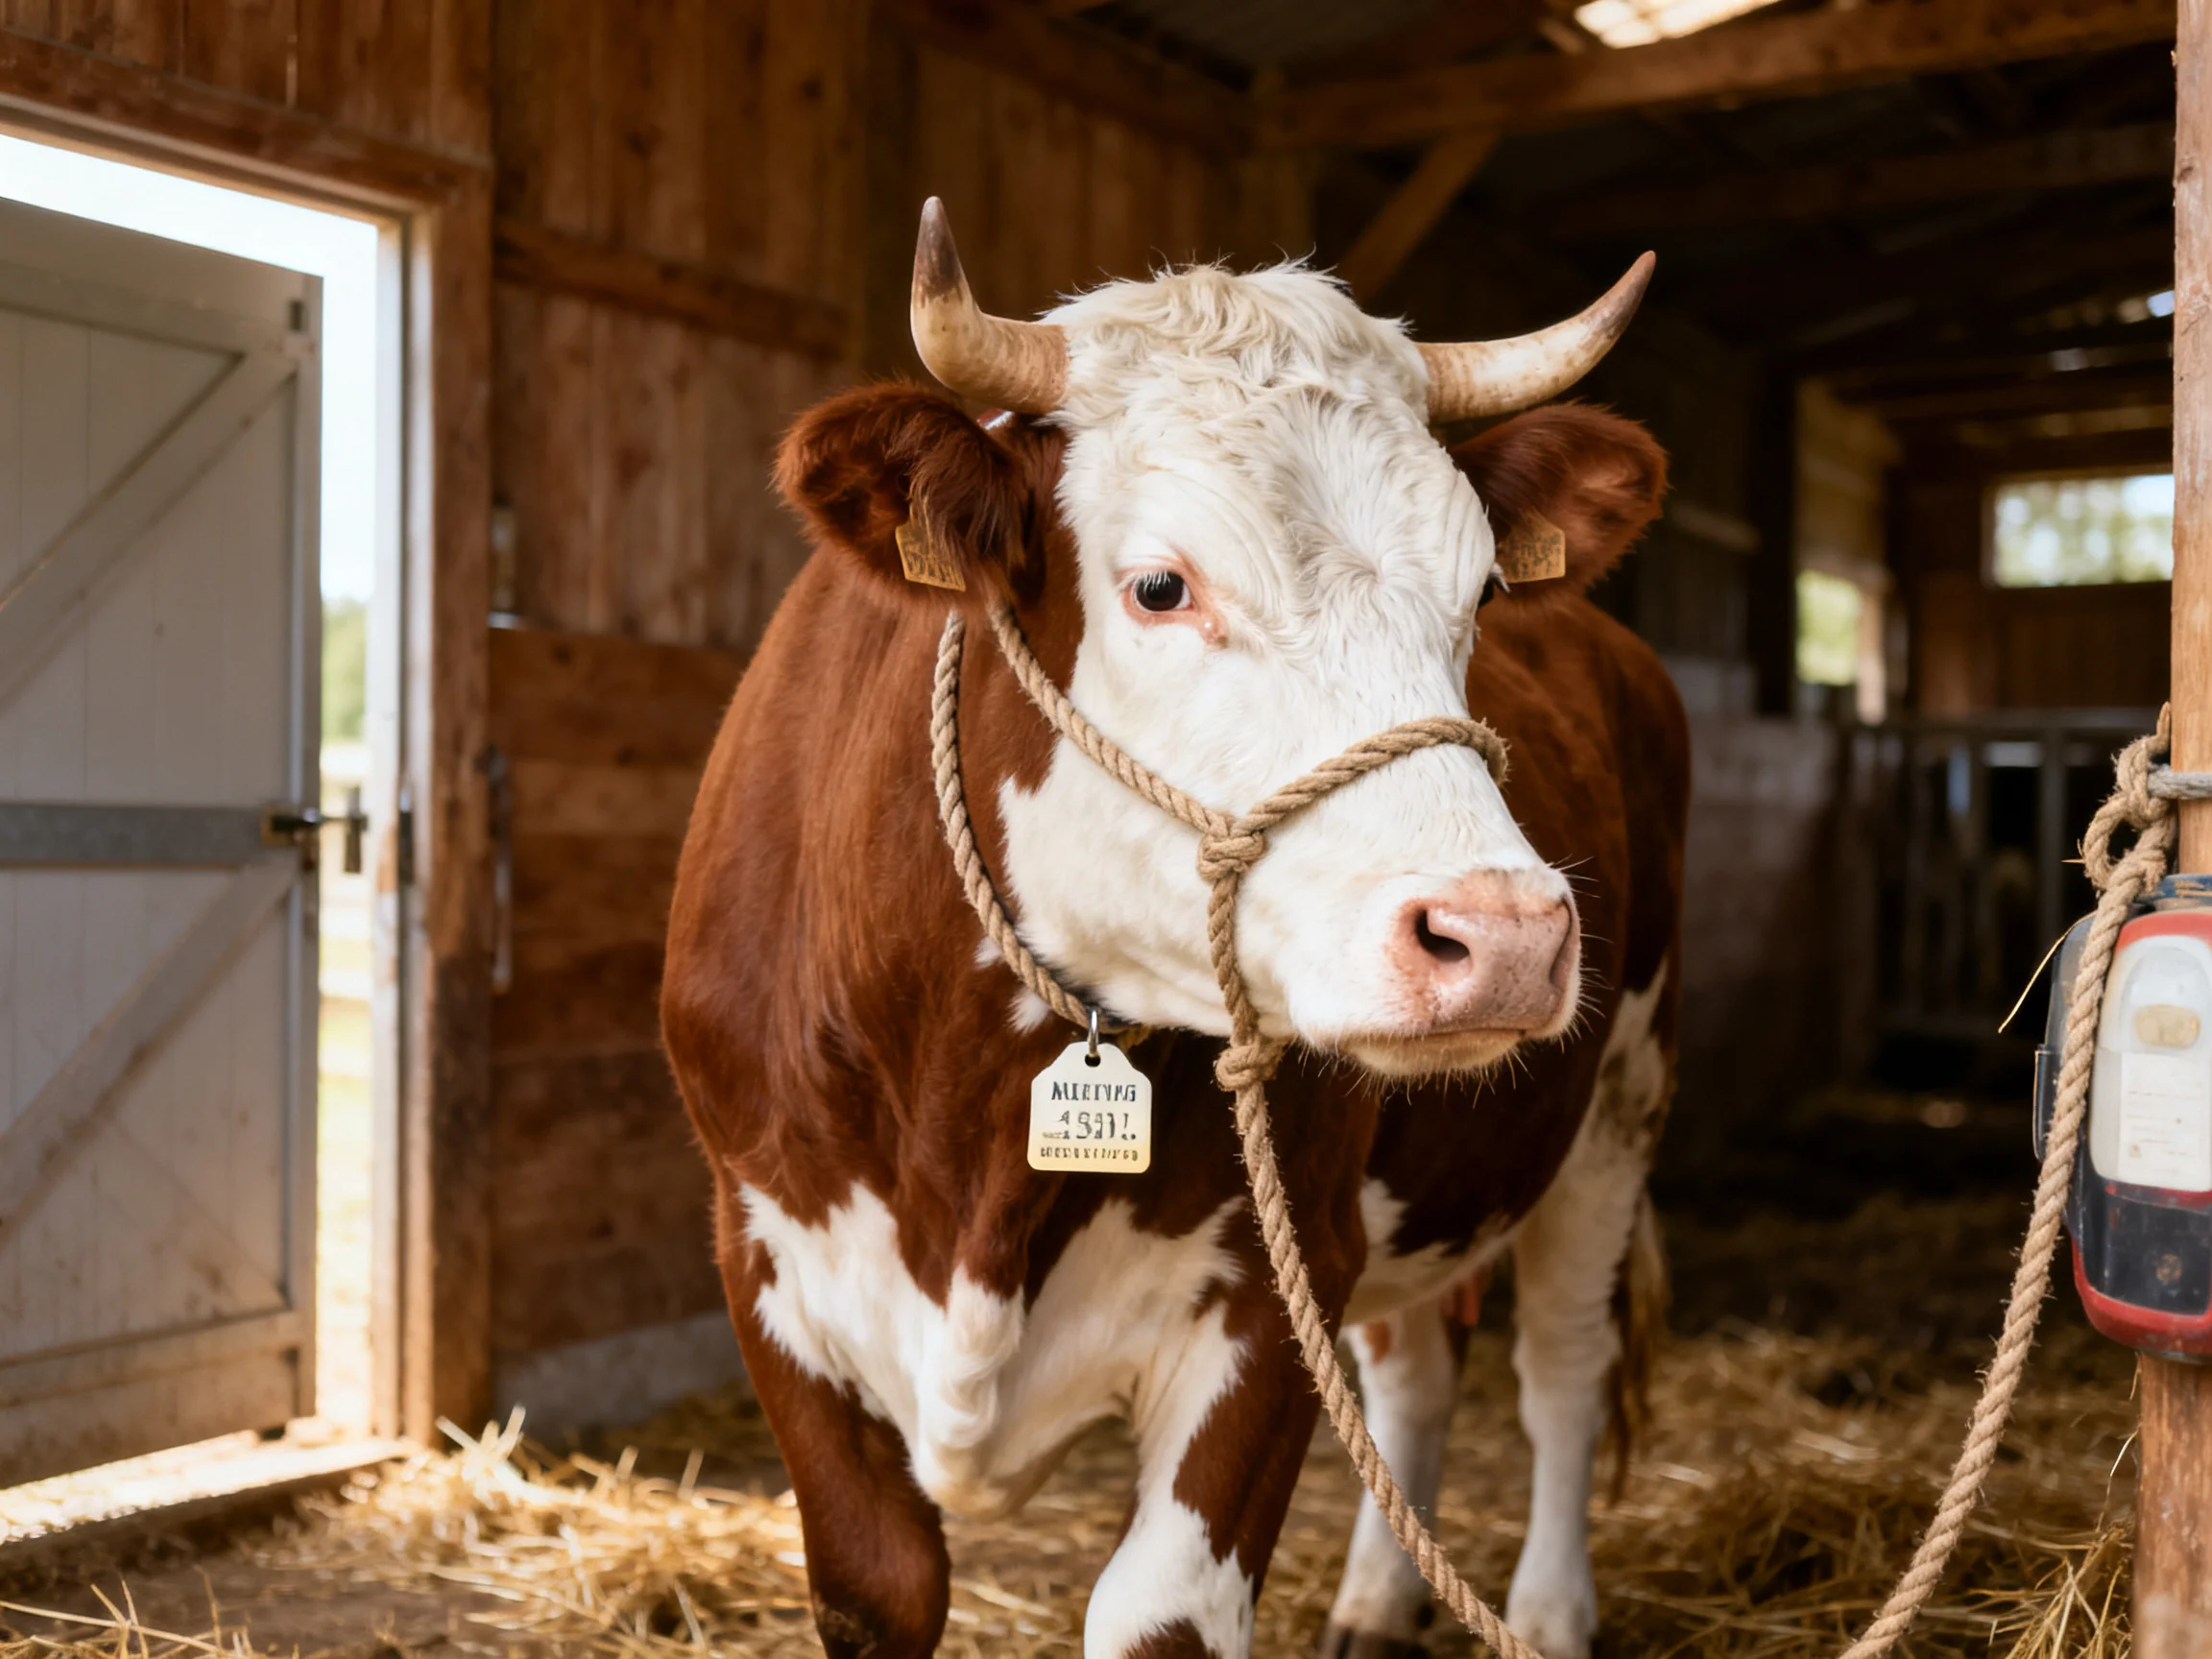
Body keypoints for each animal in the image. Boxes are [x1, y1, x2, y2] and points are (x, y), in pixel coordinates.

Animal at [662, 199, 1687, 1659]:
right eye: (1159, 587)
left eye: (1483, 592)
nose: (1504, 935)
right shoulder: (768, 1267)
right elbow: (879, 1587)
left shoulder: (1270, 1287)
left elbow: (1163, 1616)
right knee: (1415, 1370)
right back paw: (1375, 1603)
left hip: (1616, 1110)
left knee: (1561, 1365)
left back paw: (1545, 1615)